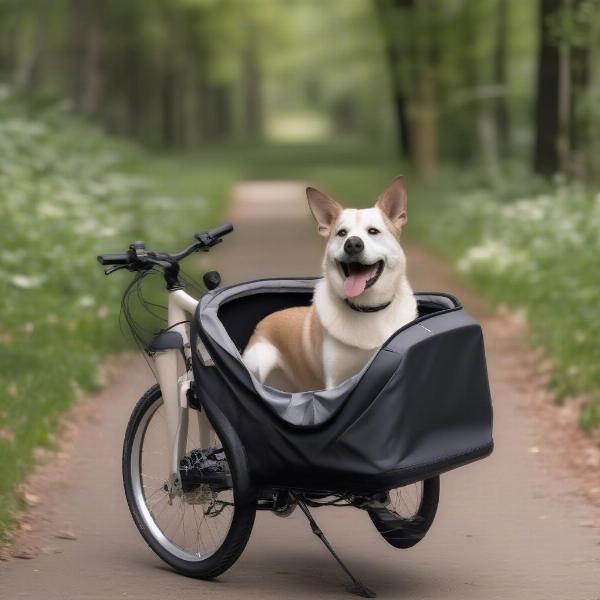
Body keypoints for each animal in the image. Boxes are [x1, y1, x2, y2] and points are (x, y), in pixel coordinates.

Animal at [243, 176, 418, 392]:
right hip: (260, 362)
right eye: (341, 233)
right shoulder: (334, 384)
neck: (367, 309)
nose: (352, 244)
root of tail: (260, 324)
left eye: (373, 231)